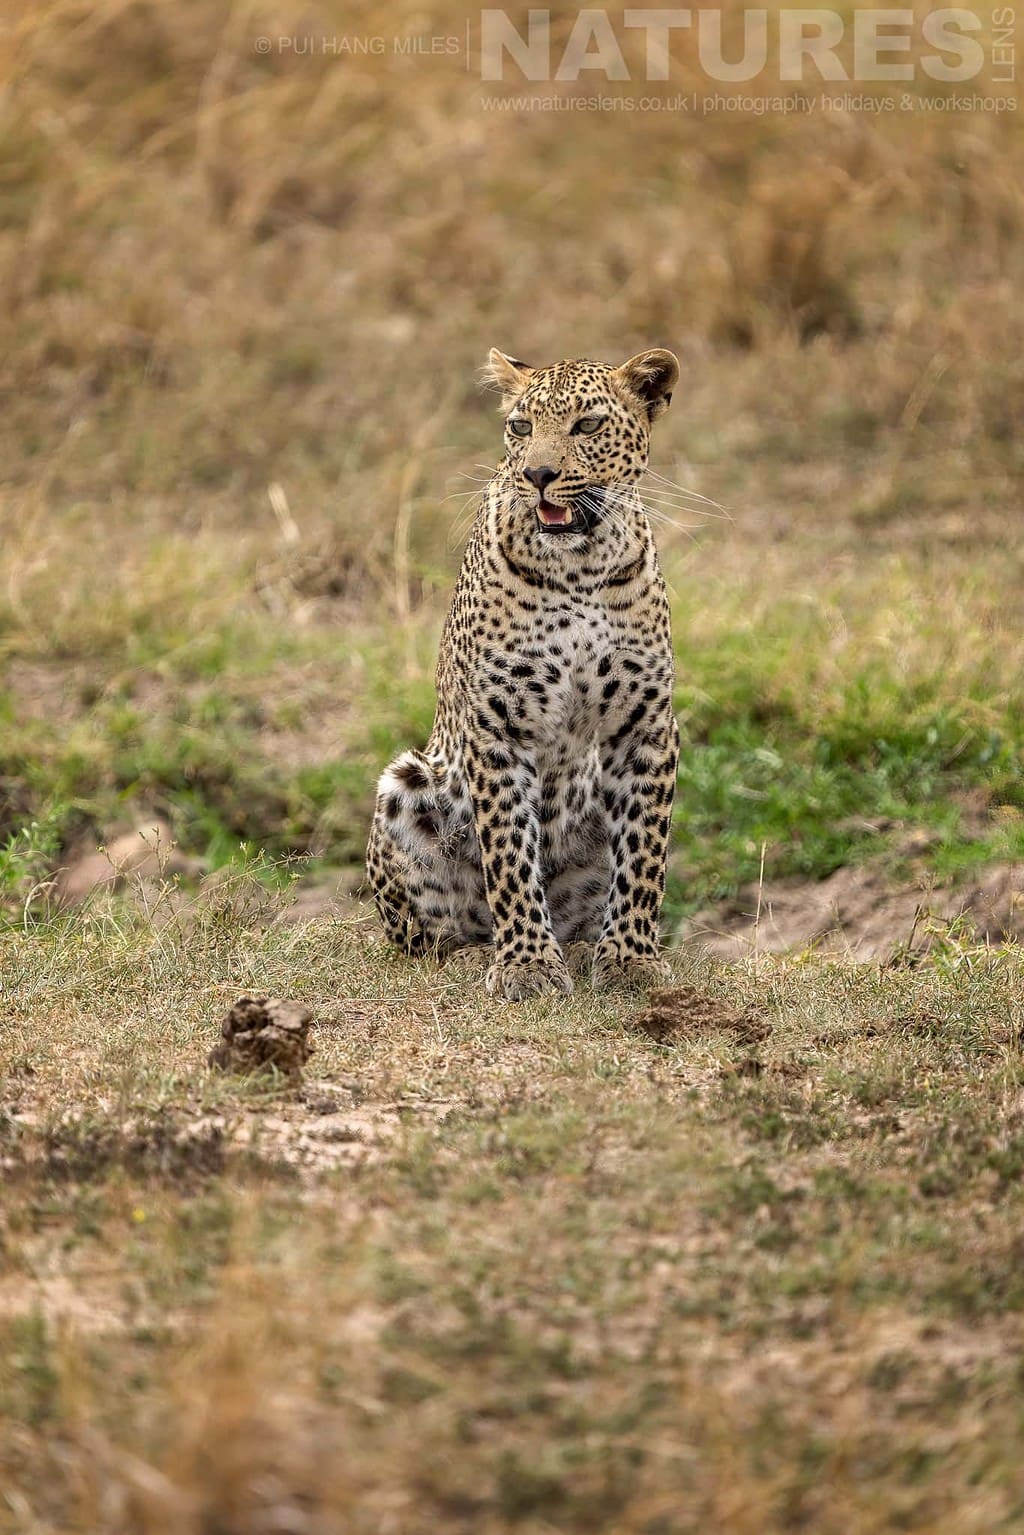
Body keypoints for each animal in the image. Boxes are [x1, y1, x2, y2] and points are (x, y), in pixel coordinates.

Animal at [365, 347, 681, 1001]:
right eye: (520, 426)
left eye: (588, 425)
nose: (537, 474)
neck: (579, 568)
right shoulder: (498, 726)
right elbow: (509, 852)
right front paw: (528, 965)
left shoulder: (644, 725)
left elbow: (644, 854)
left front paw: (631, 959)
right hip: (407, 785)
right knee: (428, 937)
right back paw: (476, 955)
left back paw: (581, 946)